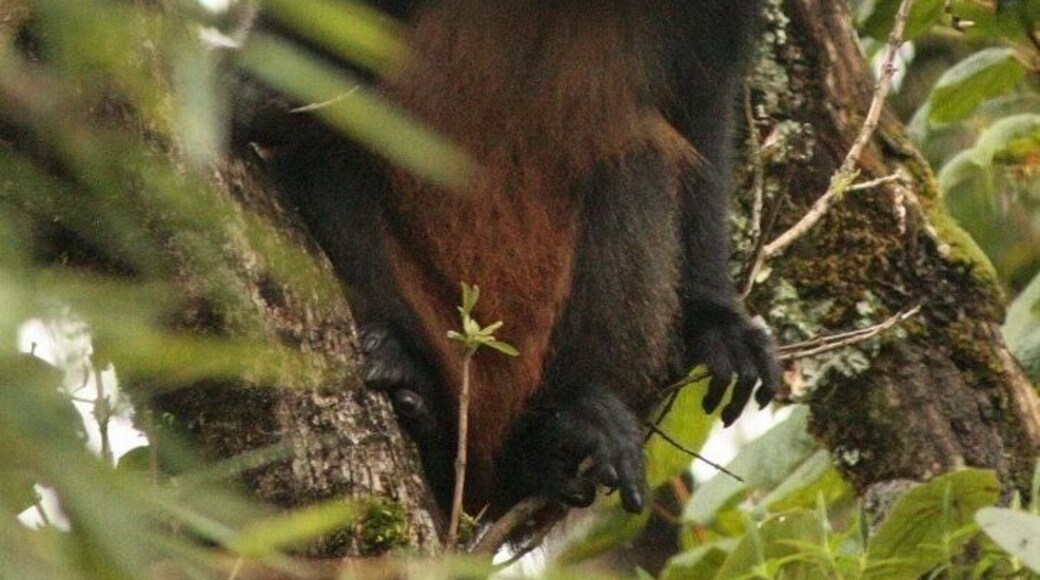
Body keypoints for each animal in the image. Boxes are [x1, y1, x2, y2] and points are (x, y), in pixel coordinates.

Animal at [232, 0, 781, 518]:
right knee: (327, 145)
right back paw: (422, 399)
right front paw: (247, 95)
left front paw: (717, 320)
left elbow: (701, 112)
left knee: (637, 162)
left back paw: (555, 432)